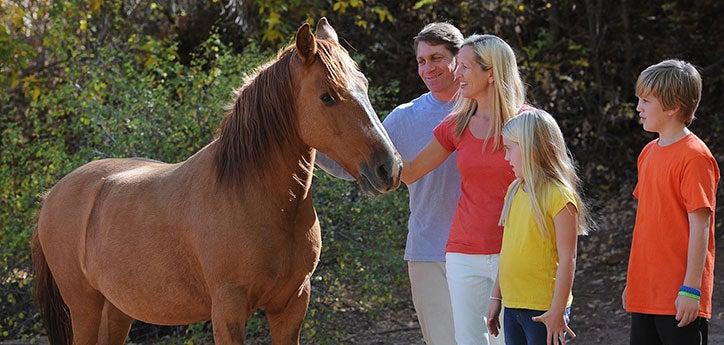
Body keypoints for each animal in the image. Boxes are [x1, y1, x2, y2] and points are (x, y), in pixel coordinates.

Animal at [31, 19, 402, 344]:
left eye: (365, 86)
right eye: (327, 96)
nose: (390, 168)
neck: (254, 198)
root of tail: (52, 195)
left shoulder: (292, 304)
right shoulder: (229, 309)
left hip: (117, 309)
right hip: (85, 308)